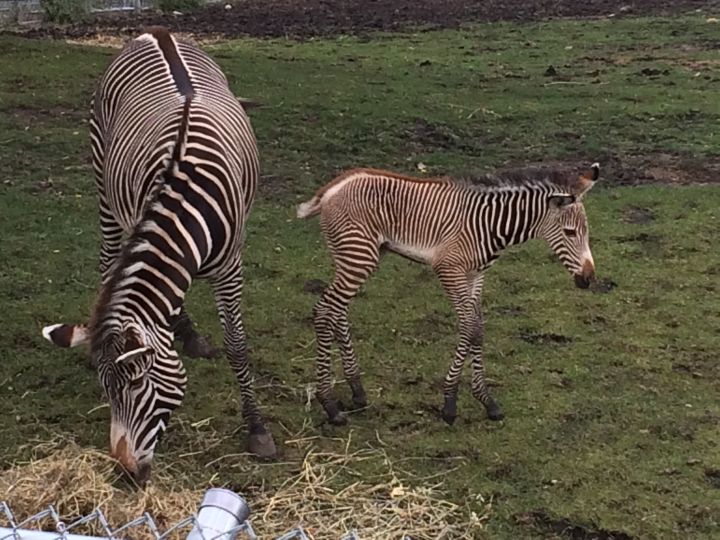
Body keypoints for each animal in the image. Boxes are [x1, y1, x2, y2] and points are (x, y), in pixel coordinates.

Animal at [41, 27, 276, 484]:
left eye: (137, 384)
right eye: (106, 390)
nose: (126, 471)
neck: (185, 200)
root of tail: (156, 32)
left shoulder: (231, 265)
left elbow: (237, 344)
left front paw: (256, 428)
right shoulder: (140, 226)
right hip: (104, 186)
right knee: (108, 260)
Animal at [297, 163, 599, 426]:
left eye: (586, 232)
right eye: (570, 232)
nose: (589, 279)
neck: (491, 224)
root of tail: (331, 188)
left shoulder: (476, 275)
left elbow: (477, 328)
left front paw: (486, 401)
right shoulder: (449, 269)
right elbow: (467, 326)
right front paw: (450, 403)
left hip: (358, 256)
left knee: (338, 312)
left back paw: (357, 391)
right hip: (359, 255)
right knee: (324, 311)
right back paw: (330, 406)